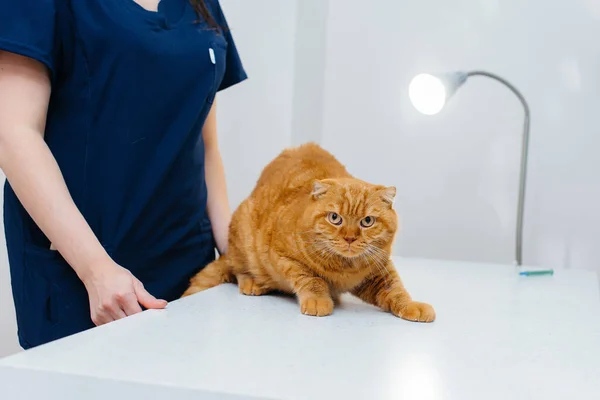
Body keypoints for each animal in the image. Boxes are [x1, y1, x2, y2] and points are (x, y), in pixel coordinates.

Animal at [183, 143, 436, 322]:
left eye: (367, 221)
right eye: (335, 218)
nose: (350, 238)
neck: (344, 268)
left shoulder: (379, 270)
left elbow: (396, 290)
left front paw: (412, 305)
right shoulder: (283, 256)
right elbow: (311, 278)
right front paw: (318, 300)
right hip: (243, 235)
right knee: (239, 269)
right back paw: (253, 283)